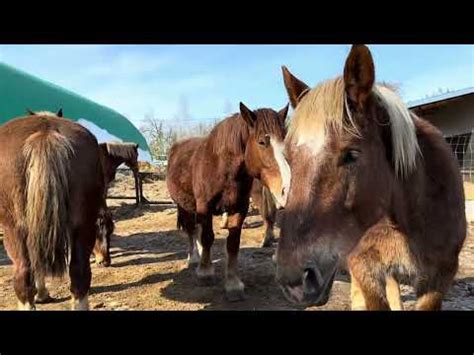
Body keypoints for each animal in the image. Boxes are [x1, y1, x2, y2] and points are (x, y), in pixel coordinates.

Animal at [0, 110, 108, 310]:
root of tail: (45, 133)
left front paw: (42, 294)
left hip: (14, 229)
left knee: (23, 276)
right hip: (83, 225)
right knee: (79, 273)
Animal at [168, 102, 290, 300]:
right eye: (262, 142)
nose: (287, 189)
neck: (222, 168)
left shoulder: (238, 208)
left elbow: (232, 244)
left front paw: (233, 284)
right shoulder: (204, 206)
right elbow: (207, 237)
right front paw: (205, 272)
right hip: (184, 205)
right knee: (191, 230)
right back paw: (194, 258)